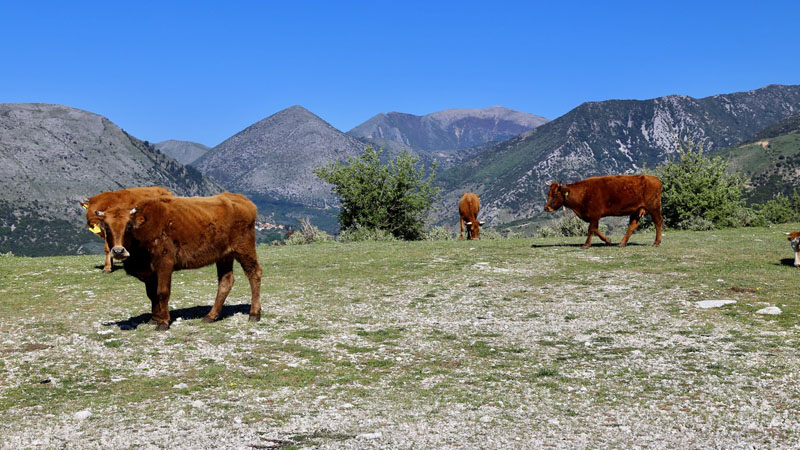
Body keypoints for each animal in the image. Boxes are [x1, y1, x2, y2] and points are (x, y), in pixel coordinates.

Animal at [95, 192, 260, 330]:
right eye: (107, 227)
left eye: (128, 226)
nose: (118, 251)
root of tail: (239, 198)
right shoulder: (149, 272)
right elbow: (151, 294)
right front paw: (154, 318)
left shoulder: (164, 264)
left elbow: (162, 292)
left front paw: (163, 322)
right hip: (224, 255)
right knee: (226, 281)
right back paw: (210, 316)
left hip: (244, 249)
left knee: (254, 274)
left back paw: (254, 313)